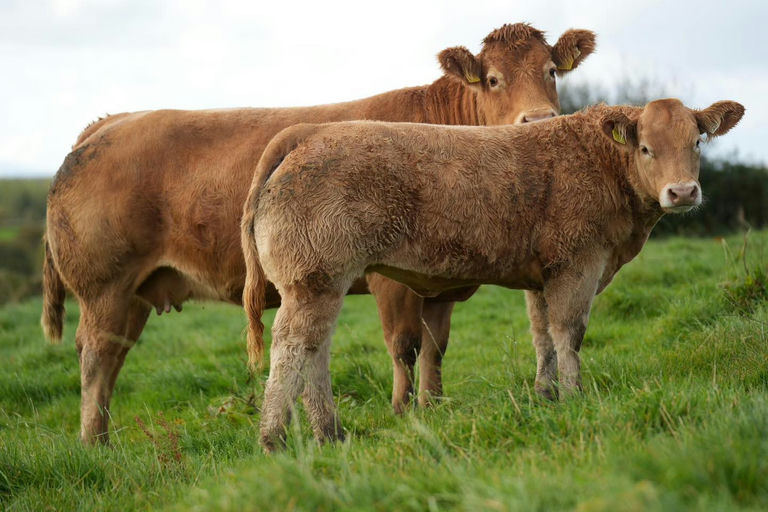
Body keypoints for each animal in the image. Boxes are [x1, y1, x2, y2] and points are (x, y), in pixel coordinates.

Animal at [42, 23, 596, 444]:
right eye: (494, 79)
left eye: (551, 71)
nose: (538, 119)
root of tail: (109, 123)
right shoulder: (391, 278)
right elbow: (405, 344)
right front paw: (403, 411)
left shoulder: (442, 277)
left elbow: (436, 346)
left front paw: (434, 406)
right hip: (105, 288)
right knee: (96, 359)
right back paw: (94, 443)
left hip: (134, 294)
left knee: (112, 358)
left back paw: (103, 437)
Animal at [241, 98, 744, 451]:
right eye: (645, 147)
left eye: (697, 142)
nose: (682, 192)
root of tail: (309, 130)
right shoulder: (579, 263)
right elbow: (570, 332)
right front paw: (576, 395)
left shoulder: (542, 275)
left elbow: (543, 336)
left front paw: (546, 395)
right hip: (315, 278)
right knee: (294, 346)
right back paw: (274, 439)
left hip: (321, 283)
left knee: (316, 350)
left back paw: (330, 434)